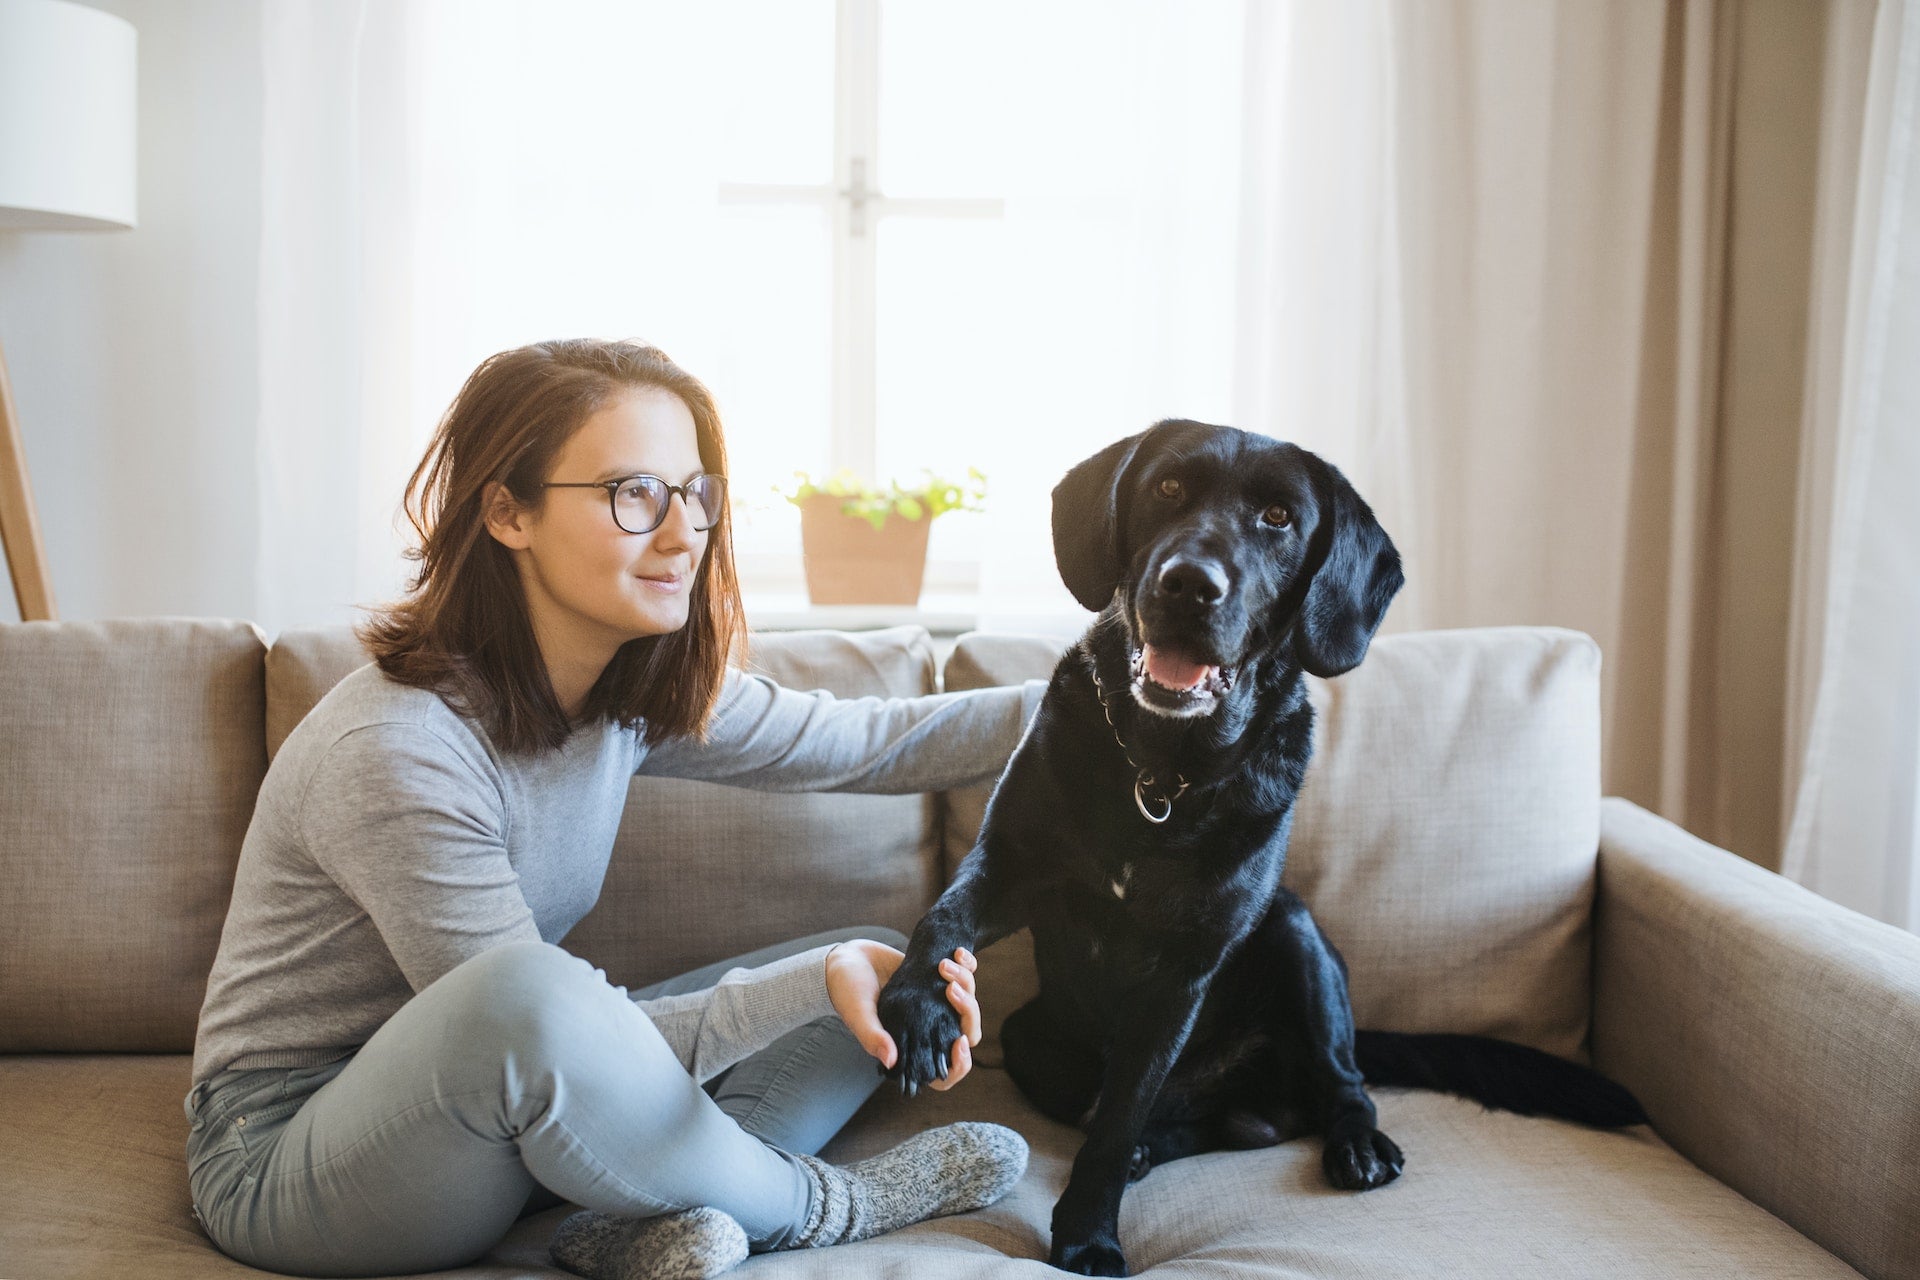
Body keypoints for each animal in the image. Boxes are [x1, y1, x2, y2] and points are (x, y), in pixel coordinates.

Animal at [879, 422, 1643, 1280]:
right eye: (1168, 489)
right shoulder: (1011, 867)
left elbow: (1117, 1119)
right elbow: (945, 916)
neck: (1161, 773)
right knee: (1196, 1119)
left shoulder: (1182, 971)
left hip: (1296, 937)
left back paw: (1354, 1143)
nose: (1189, 585)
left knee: (1338, 1086)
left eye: (1279, 518)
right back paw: (1165, 1143)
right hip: (1032, 1039)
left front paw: (1087, 1236)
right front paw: (919, 1005)